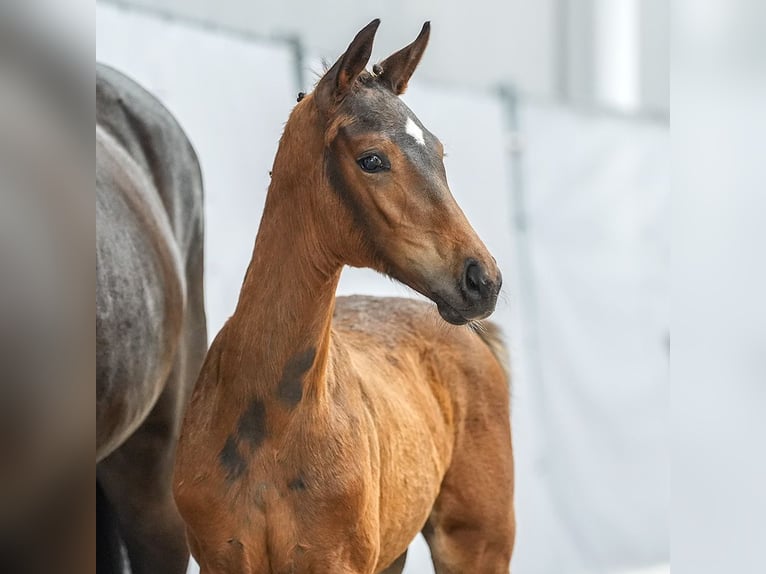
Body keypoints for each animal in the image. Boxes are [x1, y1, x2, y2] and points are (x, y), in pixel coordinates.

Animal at [176, 20, 516, 572]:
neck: (269, 425)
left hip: (477, 545)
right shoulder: (220, 558)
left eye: (439, 154)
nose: (482, 280)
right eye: (372, 159)